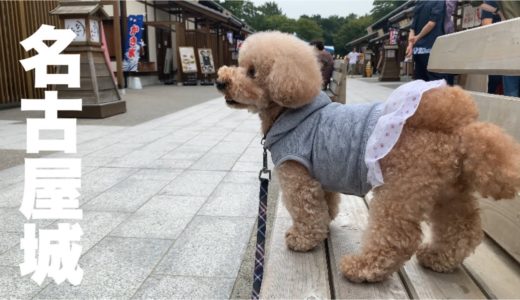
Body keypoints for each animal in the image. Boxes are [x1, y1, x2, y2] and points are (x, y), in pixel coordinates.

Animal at [214, 31, 520, 282]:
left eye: (252, 71)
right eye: (239, 63)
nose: (219, 81)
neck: (290, 113)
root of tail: (458, 127)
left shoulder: (297, 175)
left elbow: (306, 211)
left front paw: (302, 240)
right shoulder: (320, 174)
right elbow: (326, 203)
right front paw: (325, 224)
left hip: (401, 189)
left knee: (397, 237)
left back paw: (362, 268)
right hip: (448, 190)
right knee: (462, 228)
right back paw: (438, 259)